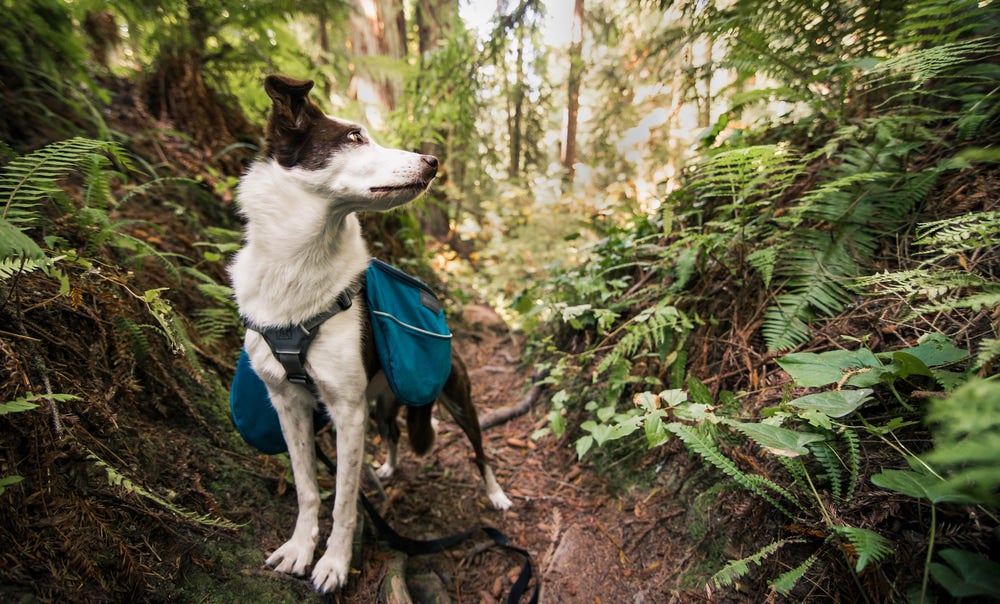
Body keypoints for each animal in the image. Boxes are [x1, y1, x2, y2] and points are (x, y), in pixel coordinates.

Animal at [227, 75, 508, 596]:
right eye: (355, 137)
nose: (433, 161)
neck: (299, 268)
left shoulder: (347, 411)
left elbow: (344, 499)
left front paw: (334, 564)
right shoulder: (289, 404)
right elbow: (309, 487)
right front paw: (300, 548)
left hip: (457, 398)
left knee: (480, 452)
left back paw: (497, 495)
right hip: (378, 404)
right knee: (393, 432)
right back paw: (389, 467)